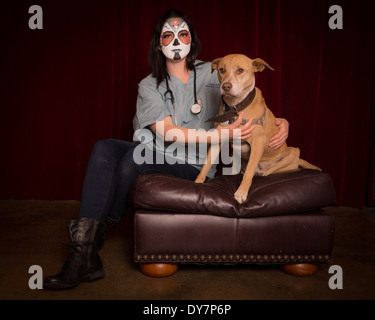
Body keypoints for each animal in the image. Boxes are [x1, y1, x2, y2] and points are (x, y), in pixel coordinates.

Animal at [195, 52, 322, 202]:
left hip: (294, 151)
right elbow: (206, 164)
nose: (226, 86)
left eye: (240, 70)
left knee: (273, 169)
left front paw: (241, 192)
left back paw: (264, 172)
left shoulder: (258, 142)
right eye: (222, 70)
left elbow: (249, 171)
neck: (235, 107)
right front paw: (198, 182)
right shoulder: (218, 138)